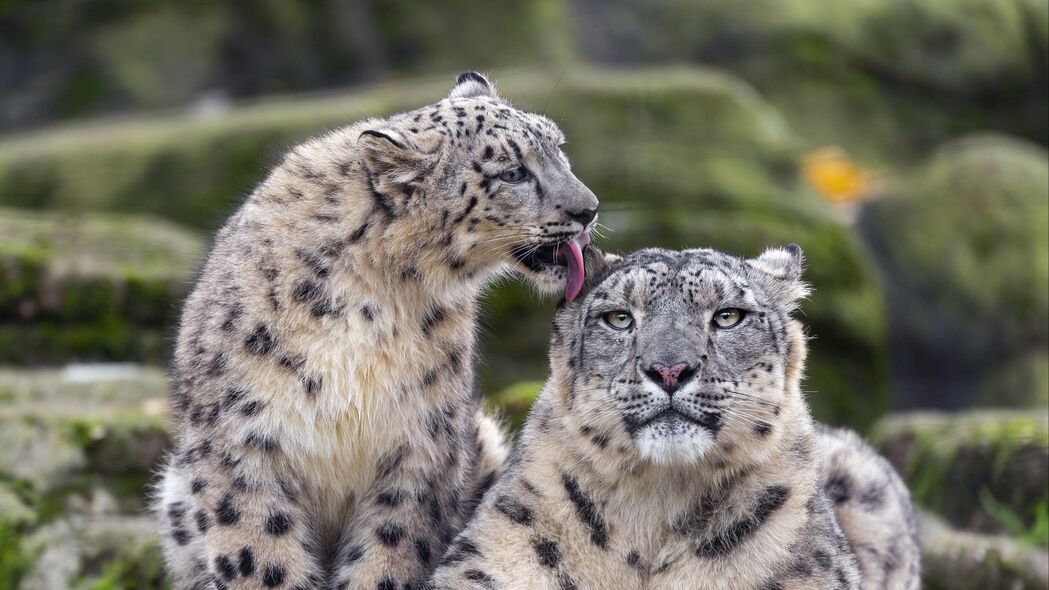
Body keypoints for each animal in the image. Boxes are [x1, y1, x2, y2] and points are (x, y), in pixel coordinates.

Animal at [153, 72, 600, 587]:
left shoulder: (419, 451)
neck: (376, 298)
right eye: (511, 173)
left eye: (559, 148)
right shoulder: (241, 444)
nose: (589, 209)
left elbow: (388, 555)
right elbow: (262, 557)